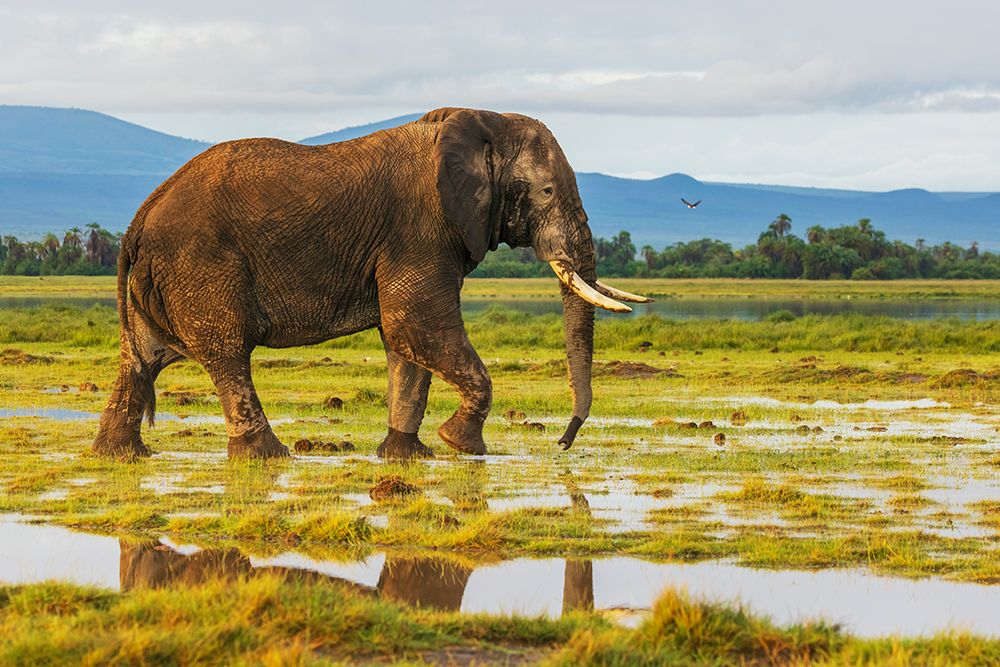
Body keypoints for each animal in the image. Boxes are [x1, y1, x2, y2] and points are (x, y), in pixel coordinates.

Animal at [91, 106, 650, 460]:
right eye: (547, 190)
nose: (562, 443)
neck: (480, 122)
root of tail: (142, 215)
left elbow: (406, 343)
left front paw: (407, 455)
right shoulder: (421, 225)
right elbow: (414, 325)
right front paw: (461, 444)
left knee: (143, 357)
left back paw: (120, 455)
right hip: (202, 266)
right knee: (228, 355)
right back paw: (269, 456)